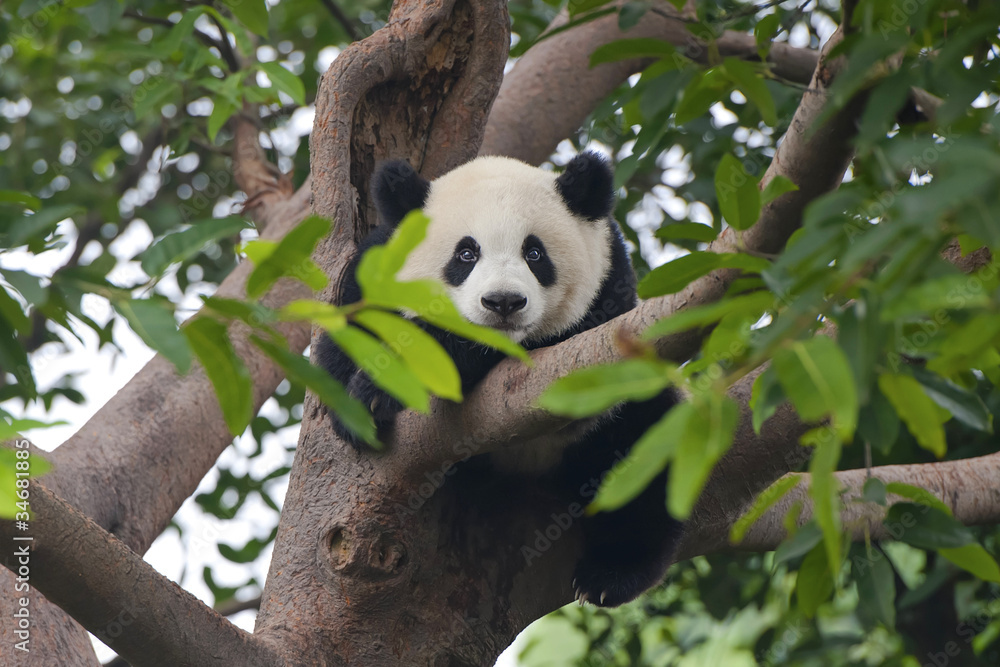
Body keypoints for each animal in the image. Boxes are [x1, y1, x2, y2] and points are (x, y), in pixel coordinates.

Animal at [316, 152, 683, 607]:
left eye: (535, 252)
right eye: (466, 254)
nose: (503, 302)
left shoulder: (606, 296)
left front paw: (379, 389)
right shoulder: (373, 270)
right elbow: (349, 337)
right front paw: (360, 404)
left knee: (643, 448)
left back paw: (611, 574)